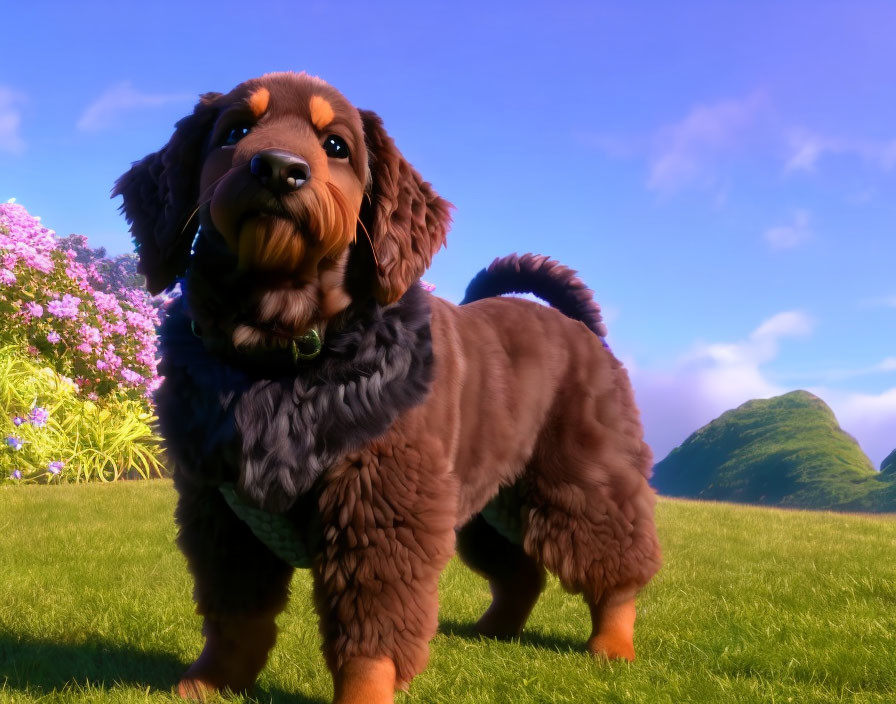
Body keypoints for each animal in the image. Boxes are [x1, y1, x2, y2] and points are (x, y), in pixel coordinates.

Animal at [114, 73, 656, 704]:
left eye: (336, 145)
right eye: (236, 131)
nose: (278, 168)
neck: (279, 353)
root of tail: (578, 326)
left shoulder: (379, 509)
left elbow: (371, 634)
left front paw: (363, 693)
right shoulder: (221, 510)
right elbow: (235, 618)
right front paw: (210, 683)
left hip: (582, 483)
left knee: (615, 566)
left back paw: (612, 645)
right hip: (483, 508)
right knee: (521, 574)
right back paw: (492, 631)